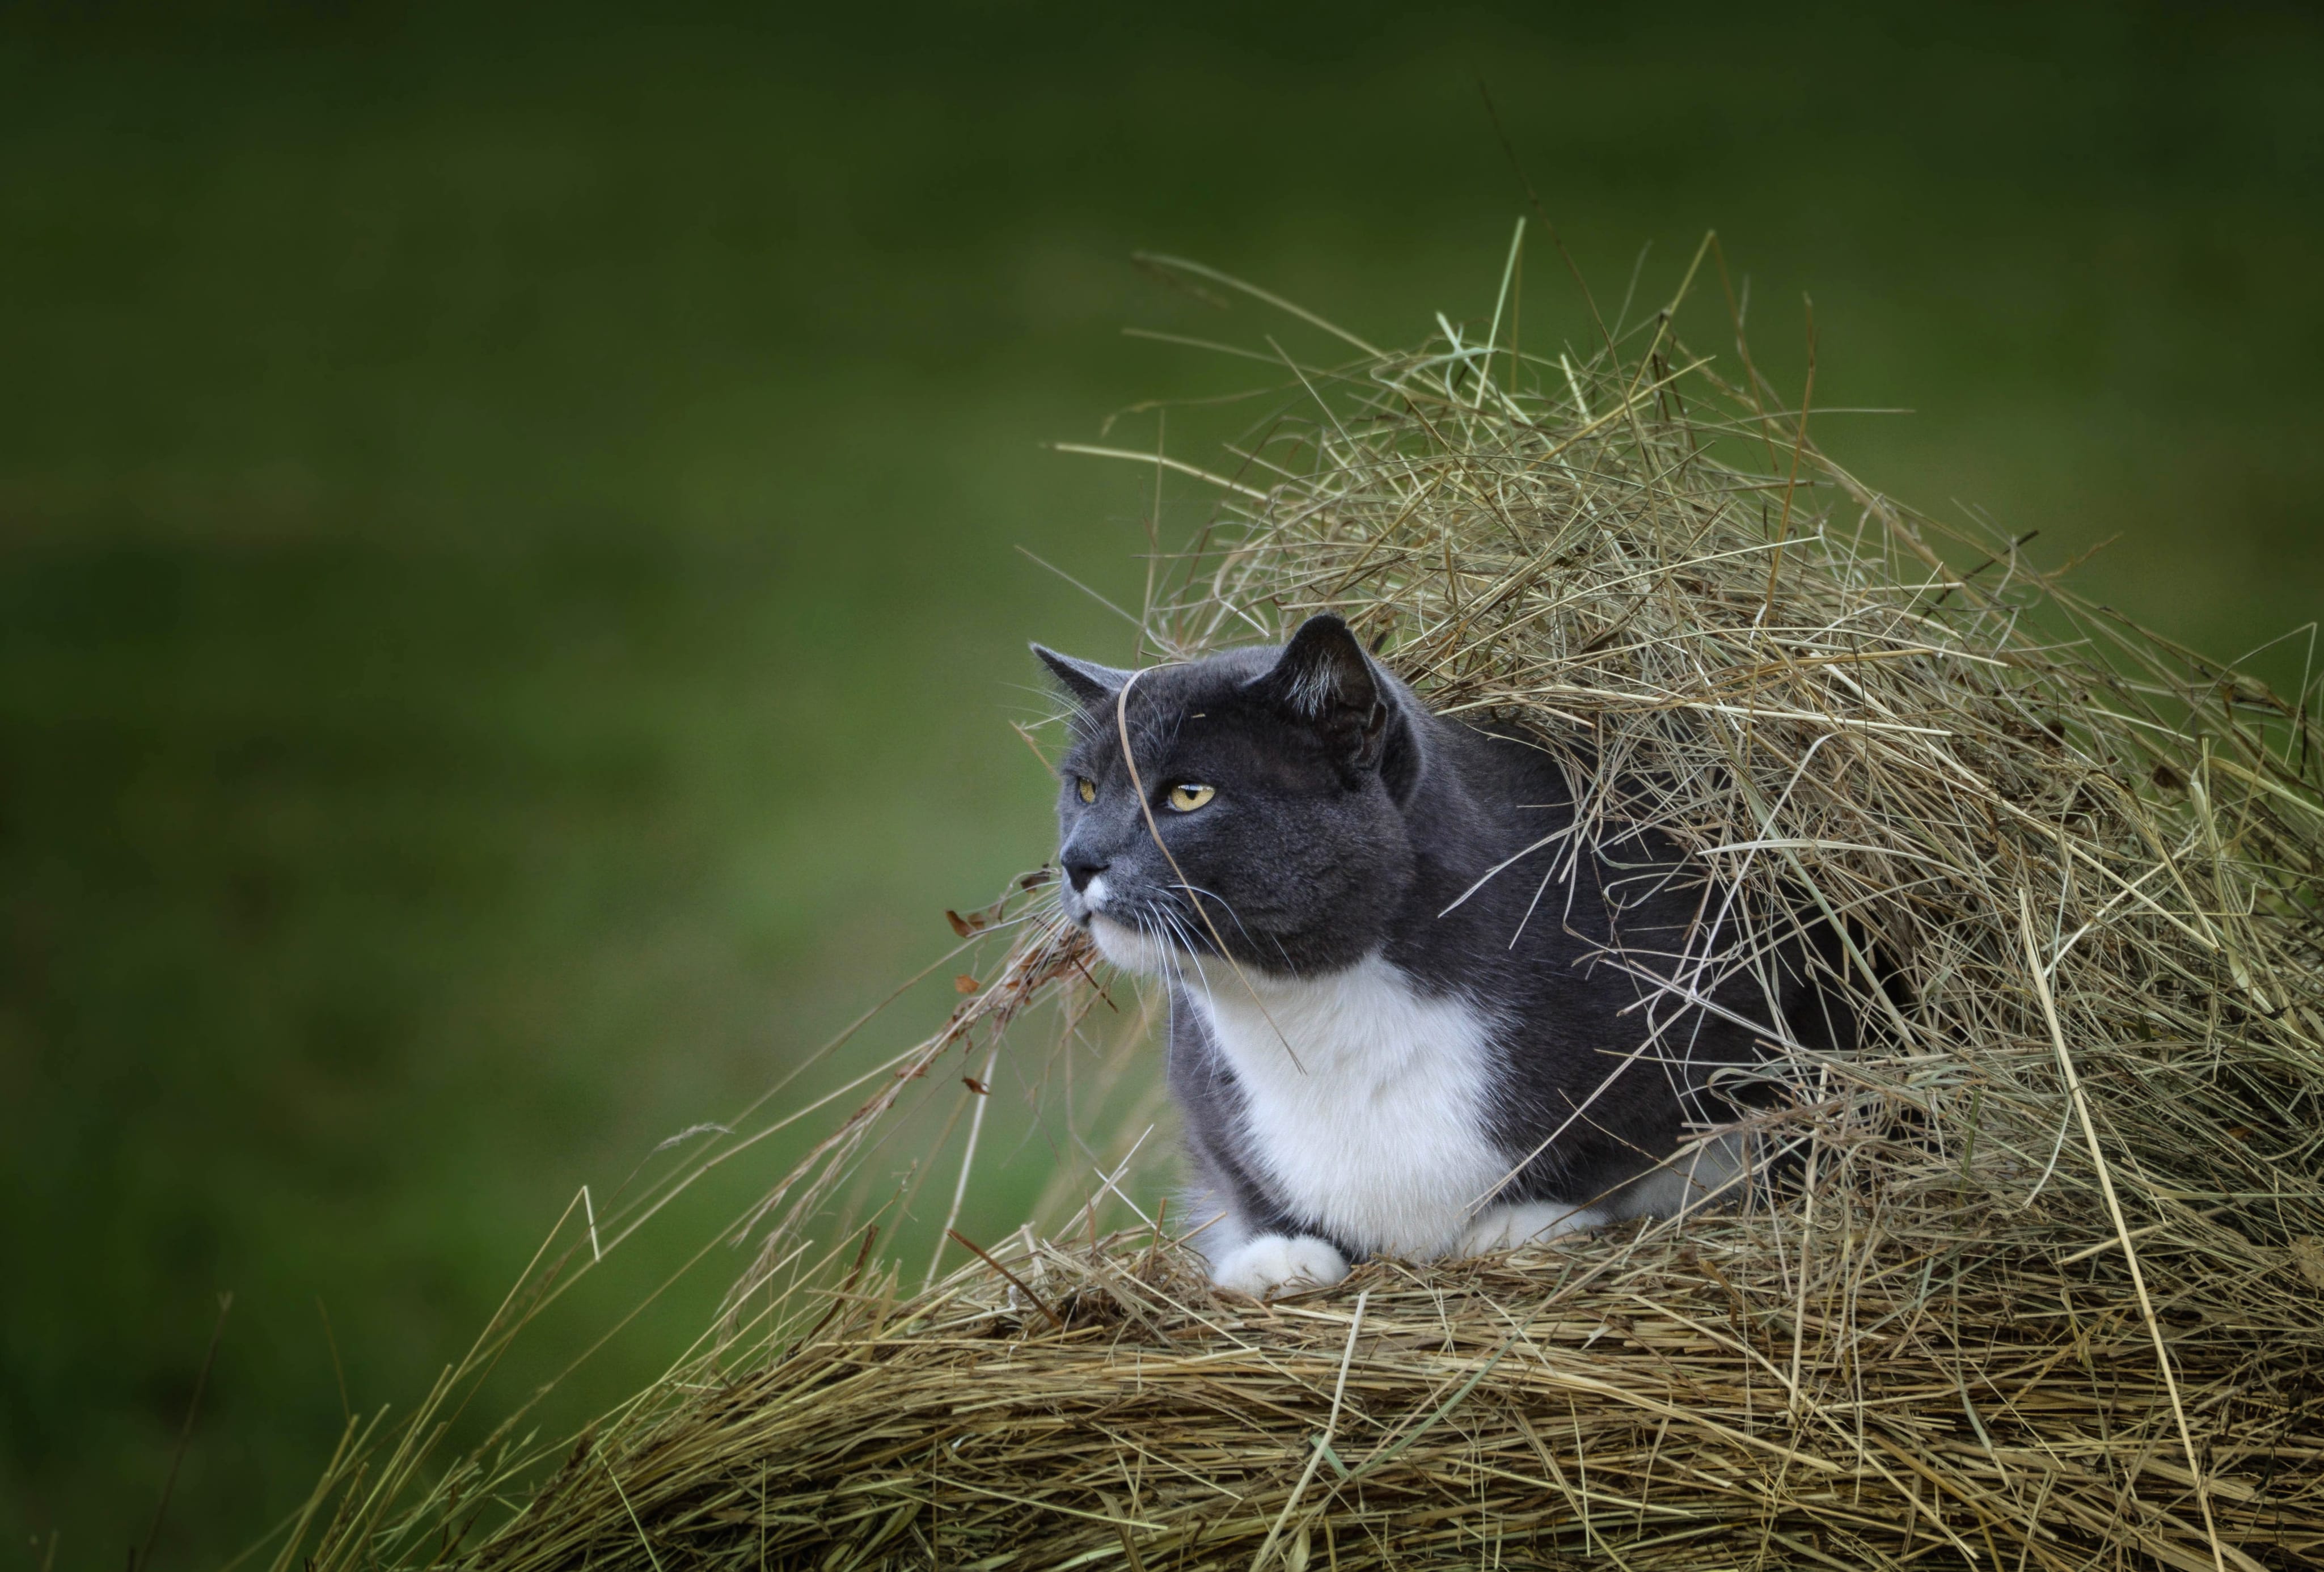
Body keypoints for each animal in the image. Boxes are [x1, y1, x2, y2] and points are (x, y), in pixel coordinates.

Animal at [1036, 618, 1831, 1302]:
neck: (1324, 1007)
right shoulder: (1199, 1081)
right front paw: (1276, 1254)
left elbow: (1641, 1147)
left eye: (1189, 794)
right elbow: (1238, 1178)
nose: (1076, 860)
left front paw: (1527, 1221)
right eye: (1084, 788)